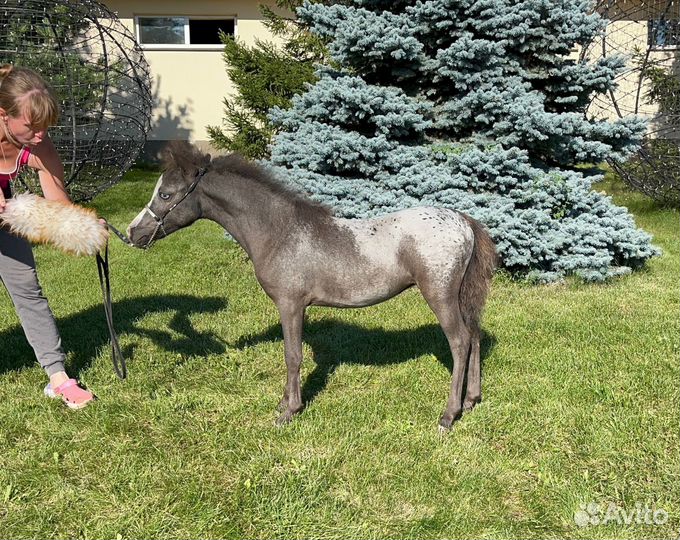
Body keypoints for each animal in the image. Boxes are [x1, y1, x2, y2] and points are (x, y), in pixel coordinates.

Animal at [126, 141, 497, 430]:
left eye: (166, 194)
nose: (132, 233)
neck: (280, 231)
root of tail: (464, 221)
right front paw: (284, 402)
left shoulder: (290, 305)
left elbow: (293, 355)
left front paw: (289, 411)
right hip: (461, 296)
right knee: (475, 335)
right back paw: (471, 400)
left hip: (440, 295)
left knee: (460, 341)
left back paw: (448, 415)